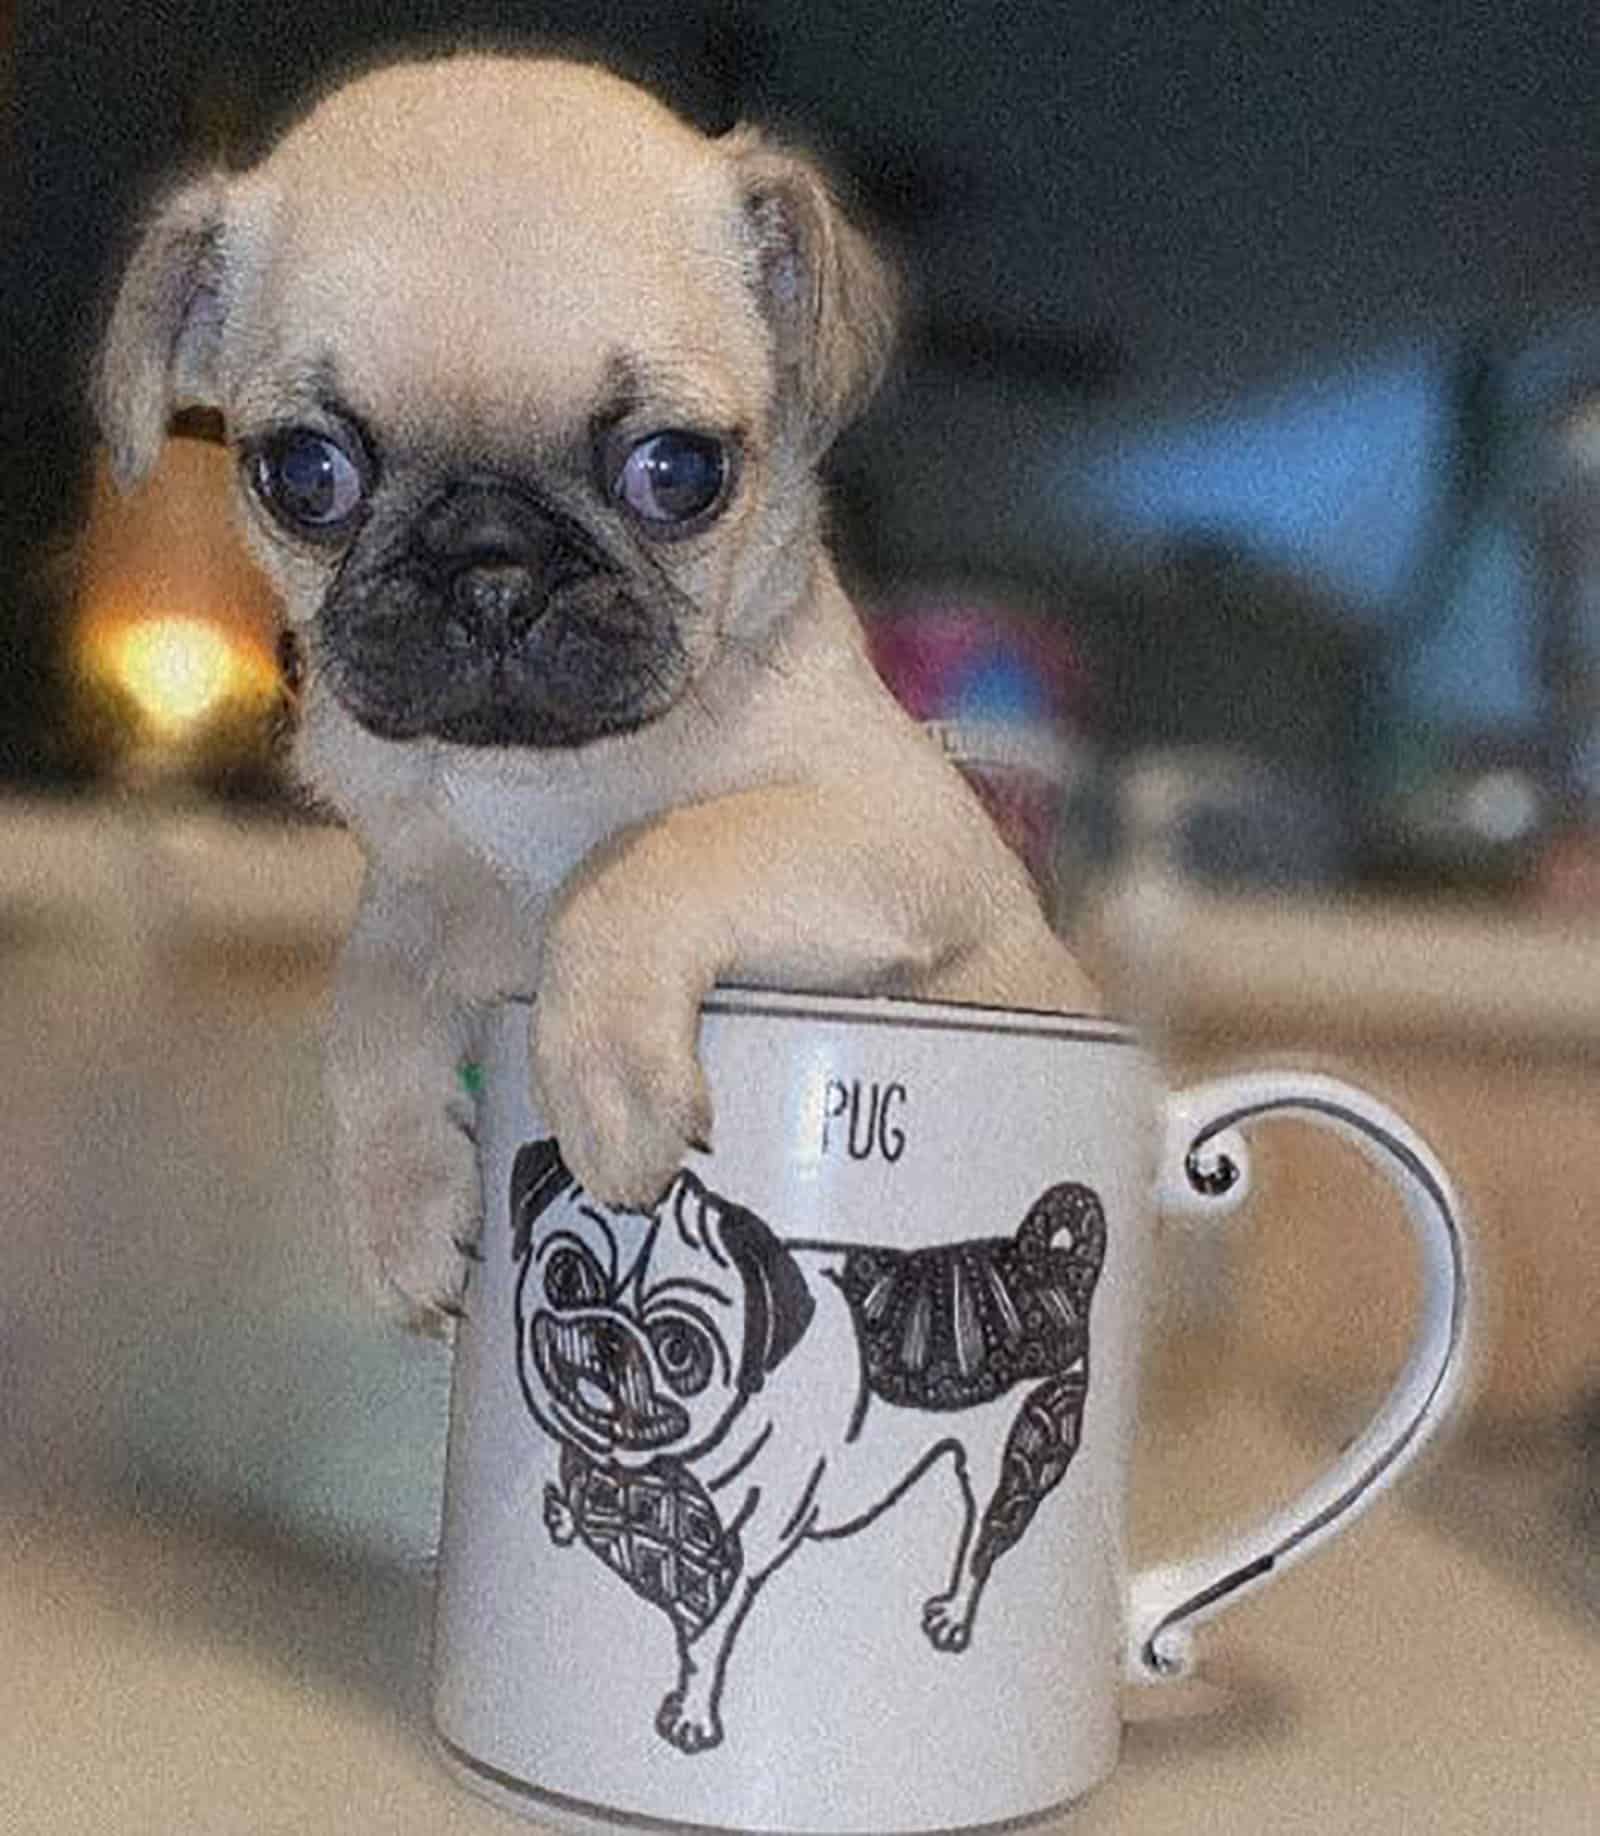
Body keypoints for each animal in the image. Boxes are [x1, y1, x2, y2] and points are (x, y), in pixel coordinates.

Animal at [96, 53, 1102, 1321]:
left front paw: (607, 1085)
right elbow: (363, 1001)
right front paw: (401, 1205)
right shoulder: (412, 890)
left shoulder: (899, 830)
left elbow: (647, 863)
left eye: (676, 472)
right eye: (305, 476)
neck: (532, 779)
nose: (490, 565)